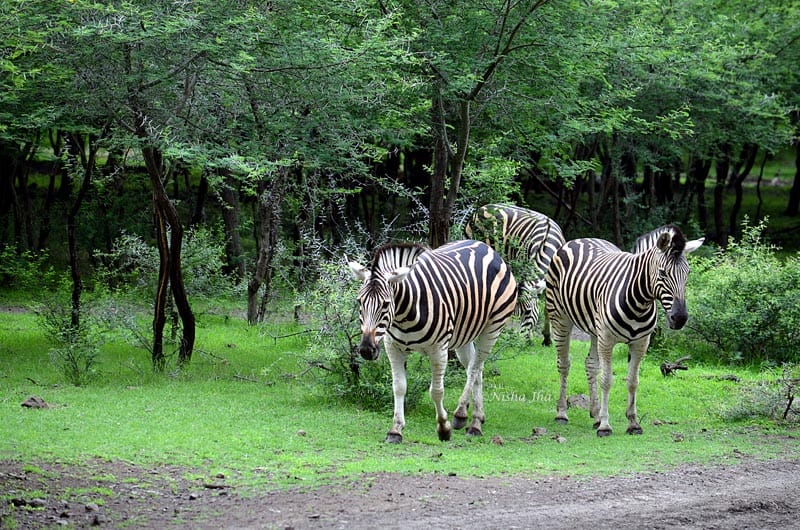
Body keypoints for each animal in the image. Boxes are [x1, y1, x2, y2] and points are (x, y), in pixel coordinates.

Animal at [348, 239, 518, 443]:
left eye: (386, 304)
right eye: (359, 302)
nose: (366, 350)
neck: (404, 314)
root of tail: (486, 247)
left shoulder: (438, 349)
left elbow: (436, 391)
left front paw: (444, 428)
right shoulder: (393, 347)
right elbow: (399, 387)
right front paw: (395, 430)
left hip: (492, 328)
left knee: (474, 369)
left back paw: (465, 418)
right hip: (464, 336)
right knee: (476, 368)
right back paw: (478, 417)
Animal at [464, 204, 565, 345]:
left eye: (528, 312)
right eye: (515, 313)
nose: (516, 343)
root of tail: (482, 208)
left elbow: (547, 308)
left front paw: (547, 339)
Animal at [545, 225, 703, 436]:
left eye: (688, 273)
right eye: (662, 273)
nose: (680, 318)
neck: (639, 301)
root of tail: (582, 239)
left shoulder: (640, 343)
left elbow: (633, 381)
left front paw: (633, 423)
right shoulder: (607, 339)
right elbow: (606, 380)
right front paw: (605, 426)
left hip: (594, 329)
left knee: (590, 364)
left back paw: (595, 414)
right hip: (560, 318)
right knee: (564, 364)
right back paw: (562, 414)